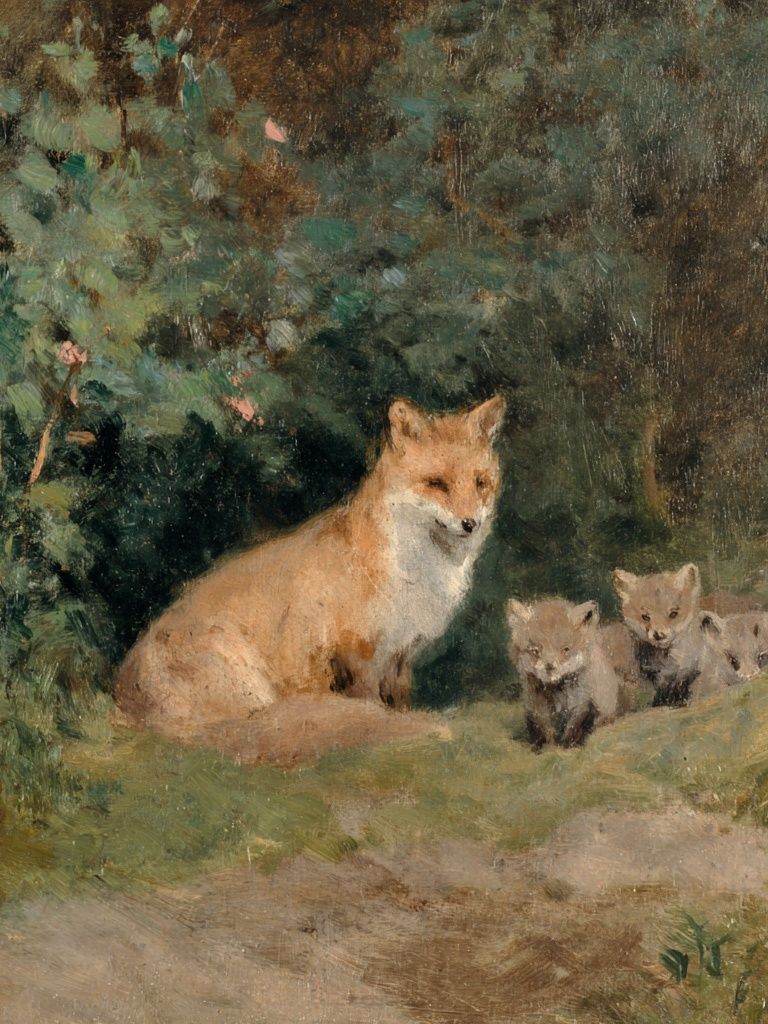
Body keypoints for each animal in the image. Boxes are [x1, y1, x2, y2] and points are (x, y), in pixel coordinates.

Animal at [115, 395, 506, 740]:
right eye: (436, 484)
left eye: (480, 484)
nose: (470, 524)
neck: (415, 575)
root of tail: (129, 706)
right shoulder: (352, 654)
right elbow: (371, 707)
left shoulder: (399, 655)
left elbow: (398, 703)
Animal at [506, 598, 626, 748]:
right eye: (535, 651)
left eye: (566, 649)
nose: (549, 666)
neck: (558, 695)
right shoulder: (536, 707)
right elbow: (544, 731)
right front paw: (545, 748)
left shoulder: (583, 705)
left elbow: (573, 730)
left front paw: (567, 746)